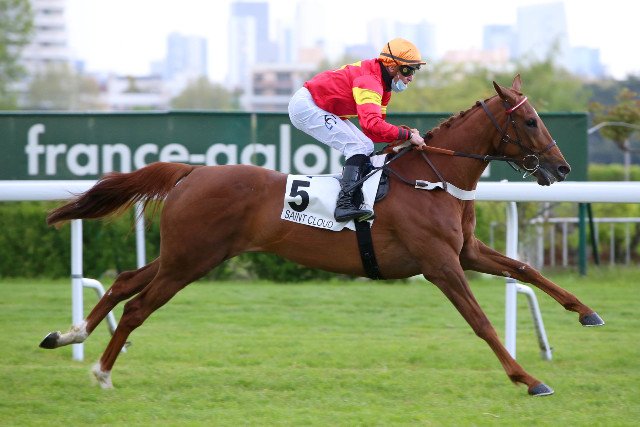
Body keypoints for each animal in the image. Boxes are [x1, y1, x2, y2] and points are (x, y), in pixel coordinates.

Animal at [39, 75, 604, 396]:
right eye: (529, 122)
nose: (562, 167)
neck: (433, 177)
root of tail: (192, 172)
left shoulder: (465, 252)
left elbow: (525, 267)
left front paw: (587, 312)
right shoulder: (439, 265)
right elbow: (482, 323)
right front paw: (529, 379)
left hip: (186, 255)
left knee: (124, 281)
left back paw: (68, 334)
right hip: (190, 260)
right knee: (137, 305)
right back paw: (102, 372)